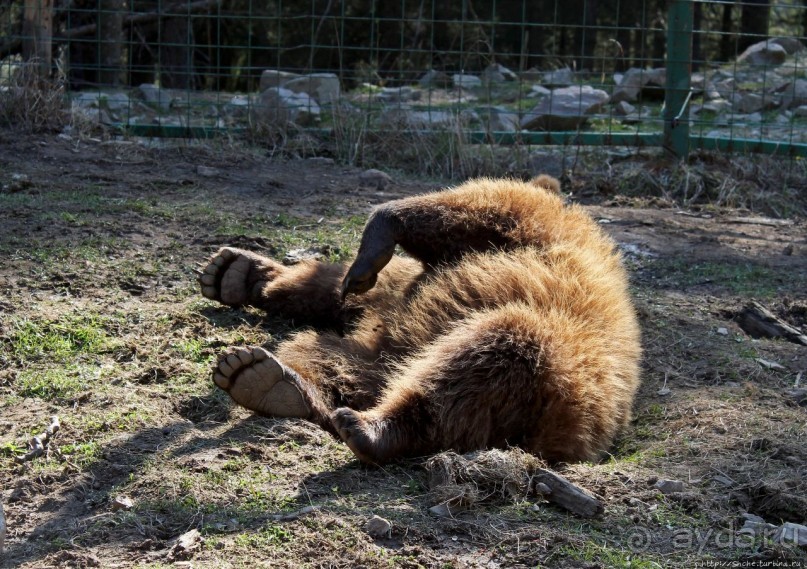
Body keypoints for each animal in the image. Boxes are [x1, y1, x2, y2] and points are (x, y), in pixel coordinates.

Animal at [202, 175, 644, 464]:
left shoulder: (535, 234)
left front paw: (375, 241)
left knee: (491, 356)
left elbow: (473, 211)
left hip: (553, 369)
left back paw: (367, 427)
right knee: (328, 343)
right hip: (370, 352)